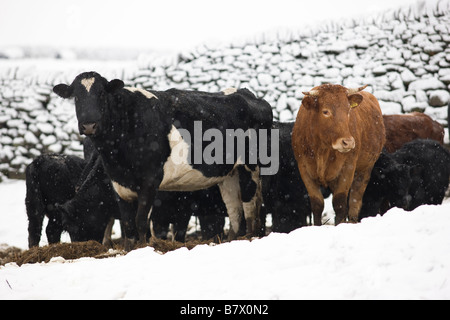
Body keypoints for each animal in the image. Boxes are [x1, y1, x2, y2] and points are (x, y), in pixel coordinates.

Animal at [52, 71, 270, 249]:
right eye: (76, 97)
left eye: (102, 94)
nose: (89, 125)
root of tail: (248, 94)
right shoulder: (119, 184)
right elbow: (128, 224)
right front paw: (129, 250)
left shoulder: (150, 180)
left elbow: (140, 221)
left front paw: (144, 249)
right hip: (228, 173)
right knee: (235, 212)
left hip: (250, 166)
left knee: (250, 209)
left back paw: (249, 237)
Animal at [292, 84, 386, 226]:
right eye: (326, 111)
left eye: (348, 110)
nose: (348, 142)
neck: (322, 150)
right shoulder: (304, 169)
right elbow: (317, 203)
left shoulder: (348, 168)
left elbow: (340, 203)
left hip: (365, 169)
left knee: (355, 200)